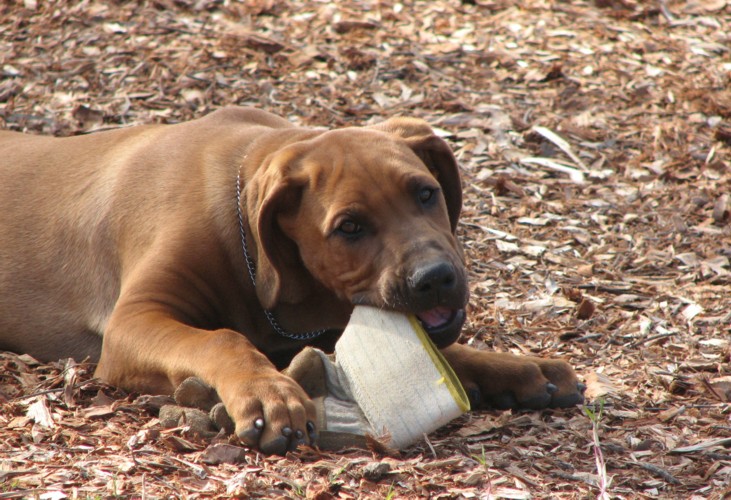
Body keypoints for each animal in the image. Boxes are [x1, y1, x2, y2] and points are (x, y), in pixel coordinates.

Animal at [0, 107, 584, 454]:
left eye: (426, 193)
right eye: (349, 228)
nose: (436, 280)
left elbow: (440, 351)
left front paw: (514, 367)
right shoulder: (134, 321)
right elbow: (222, 340)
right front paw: (267, 393)